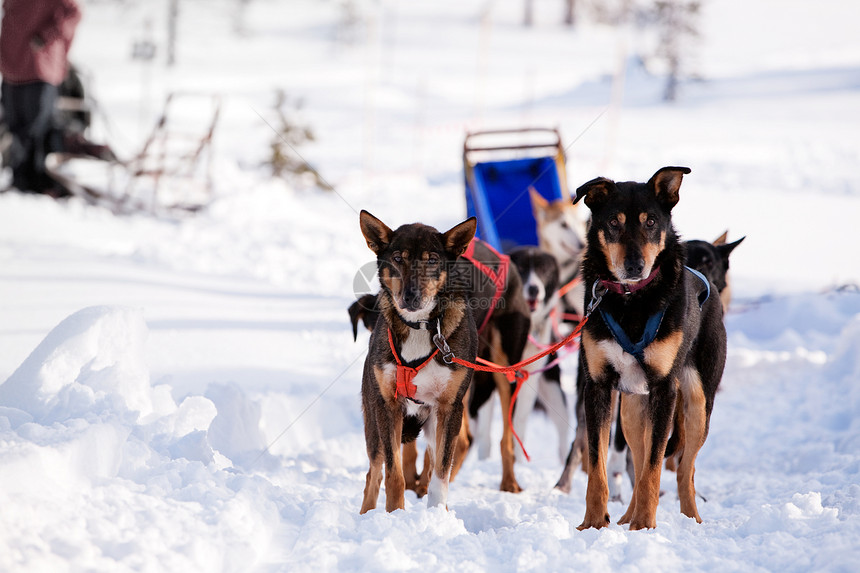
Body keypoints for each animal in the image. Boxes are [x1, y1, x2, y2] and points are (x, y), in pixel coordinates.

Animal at [356, 211, 478, 512]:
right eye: (398, 258)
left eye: (432, 260)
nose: (411, 296)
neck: (421, 326)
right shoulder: (388, 406)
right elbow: (394, 475)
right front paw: (395, 514)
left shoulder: (449, 409)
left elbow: (440, 476)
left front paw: (438, 516)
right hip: (374, 422)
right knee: (373, 474)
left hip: (433, 424)